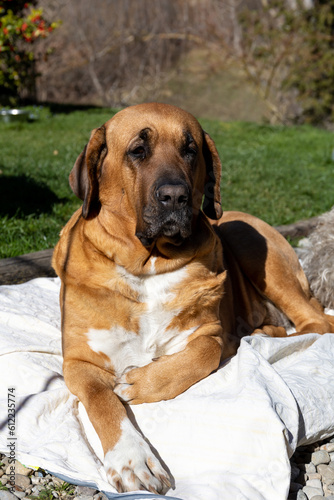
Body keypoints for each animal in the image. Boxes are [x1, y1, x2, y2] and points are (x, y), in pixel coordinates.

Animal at [52, 103, 334, 494]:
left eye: (190, 150)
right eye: (137, 150)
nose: (175, 196)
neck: (148, 266)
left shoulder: (208, 334)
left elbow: (201, 355)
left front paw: (141, 382)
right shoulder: (79, 361)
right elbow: (103, 400)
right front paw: (133, 459)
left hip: (247, 239)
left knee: (316, 322)